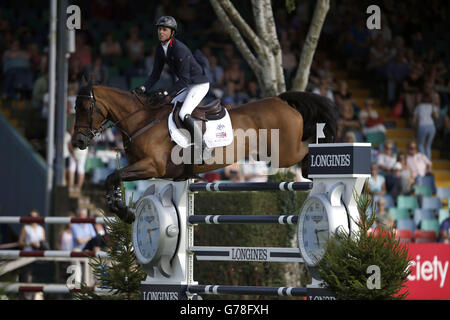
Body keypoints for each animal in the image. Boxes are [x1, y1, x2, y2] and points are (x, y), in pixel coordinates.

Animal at [71, 83, 338, 222]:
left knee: (307, 146)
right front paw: (118, 206)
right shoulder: (148, 169)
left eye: (84, 107)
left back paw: (317, 164)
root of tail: (281, 101)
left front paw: (123, 210)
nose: (78, 141)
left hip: (284, 152)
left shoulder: (152, 166)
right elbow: (113, 177)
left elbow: (113, 175)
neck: (141, 121)